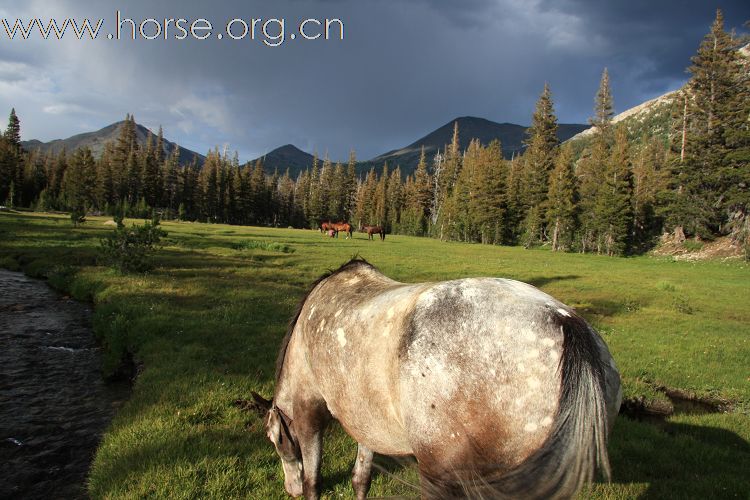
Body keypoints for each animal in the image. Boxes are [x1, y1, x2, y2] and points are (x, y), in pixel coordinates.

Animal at [253, 260, 624, 498]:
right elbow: (361, 479)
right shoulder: (365, 420)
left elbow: (314, 482)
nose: (289, 489)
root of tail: (565, 320)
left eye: (275, 441)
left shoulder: (309, 415)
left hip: (441, 471)